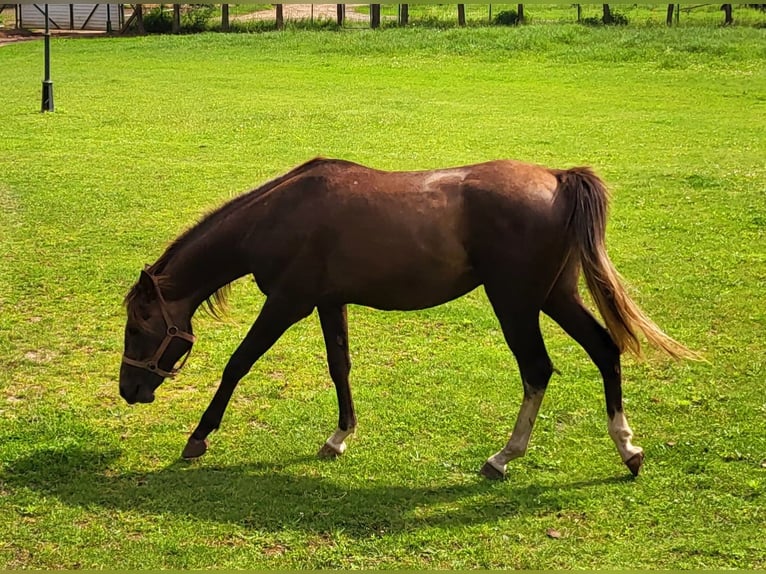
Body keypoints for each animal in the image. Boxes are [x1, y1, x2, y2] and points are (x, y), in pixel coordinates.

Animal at [121, 155, 696, 480]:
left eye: (139, 327)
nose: (130, 390)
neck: (280, 214)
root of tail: (557, 179)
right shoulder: (329, 302)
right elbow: (339, 366)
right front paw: (339, 436)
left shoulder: (288, 302)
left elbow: (238, 363)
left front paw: (199, 436)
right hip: (555, 295)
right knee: (604, 348)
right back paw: (627, 449)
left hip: (515, 301)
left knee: (537, 369)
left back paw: (503, 457)